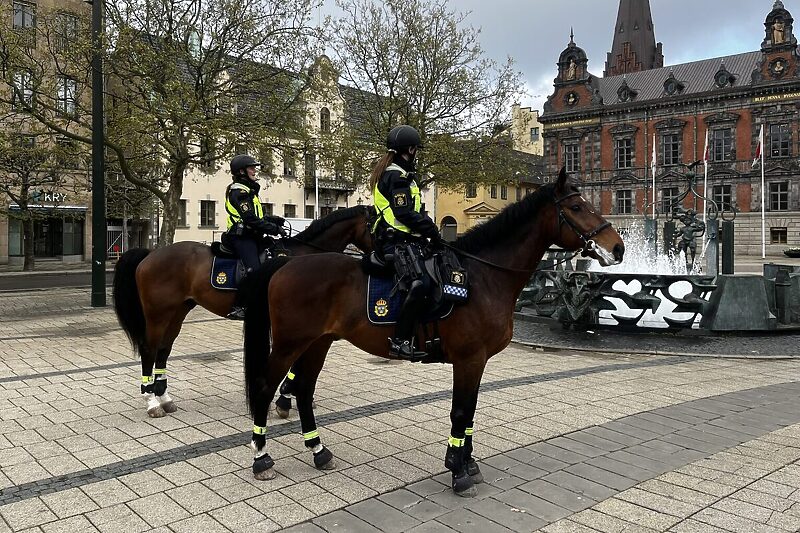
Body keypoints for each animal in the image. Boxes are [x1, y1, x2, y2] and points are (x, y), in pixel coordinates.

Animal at [111, 206, 372, 418]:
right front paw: (286, 399)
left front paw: (288, 397)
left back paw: (164, 398)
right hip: (158, 313)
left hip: (178, 311)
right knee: (149, 349)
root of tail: (150, 254)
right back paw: (152, 402)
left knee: (164, 349)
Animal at [241, 169, 628, 494]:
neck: (484, 277)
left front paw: (467, 464)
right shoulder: (469, 359)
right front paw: (458, 471)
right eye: (577, 206)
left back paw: (318, 450)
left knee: (304, 390)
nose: (618, 247)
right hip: (290, 343)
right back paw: (261, 458)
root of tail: (285, 264)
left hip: (318, 342)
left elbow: (469, 412)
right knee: (264, 388)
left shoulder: (479, 362)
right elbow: (460, 413)